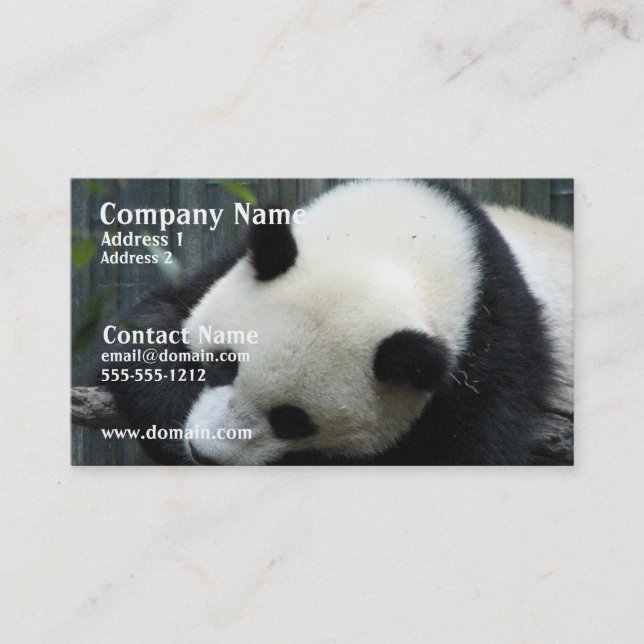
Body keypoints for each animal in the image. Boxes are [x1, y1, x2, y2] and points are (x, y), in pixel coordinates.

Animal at [102, 180, 573, 465]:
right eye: (225, 365)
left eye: (292, 420)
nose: (204, 453)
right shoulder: (235, 260)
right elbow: (148, 328)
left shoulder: (492, 355)